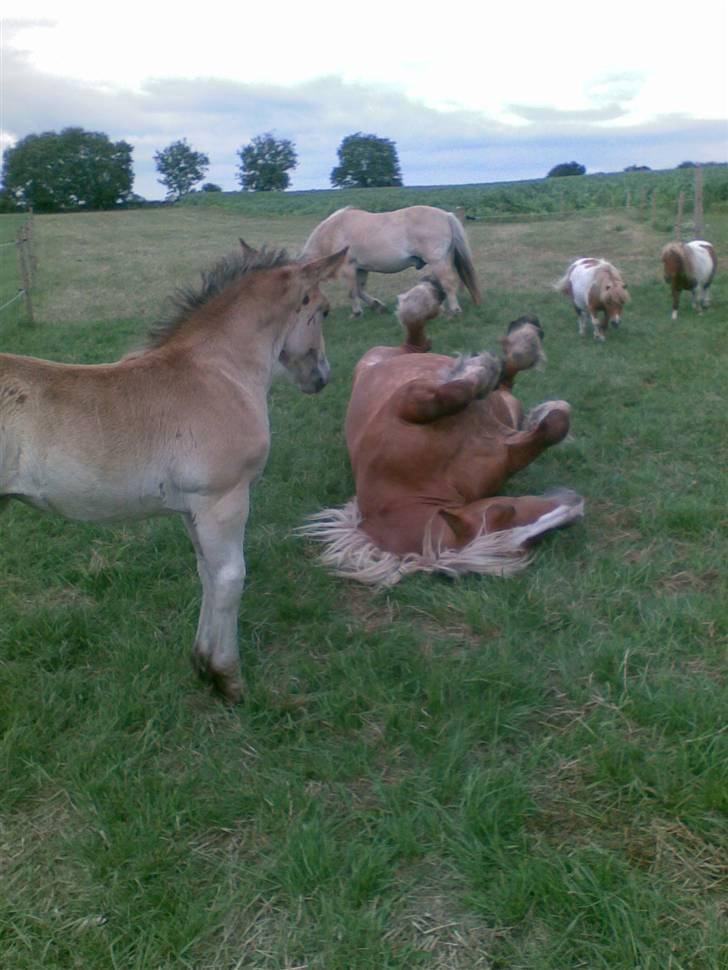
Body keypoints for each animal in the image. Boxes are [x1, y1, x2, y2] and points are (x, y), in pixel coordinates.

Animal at [0, 241, 346, 696]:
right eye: (324, 310)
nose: (321, 377)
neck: (219, 373)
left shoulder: (192, 507)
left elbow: (206, 573)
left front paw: (202, 663)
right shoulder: (224, 499)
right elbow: (231, 577)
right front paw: (228, 677)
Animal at [298, 205, 480, 318]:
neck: (334, 231)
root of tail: (446, 216)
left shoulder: (347, 268)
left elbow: (352, 292)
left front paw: (356, 313)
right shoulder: (361, 269)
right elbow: (360, 290)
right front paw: (377, 306)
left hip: (438, 261)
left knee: (448, 283)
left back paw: (454, 310)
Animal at [298, 280, 584, 584]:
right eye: (503, 513)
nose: (576, 506)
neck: (424, 479)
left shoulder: (408, 402)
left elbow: (459, 395)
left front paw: (485, 373)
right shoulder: (502, 448)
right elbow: (546, 425)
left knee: (429, 341)